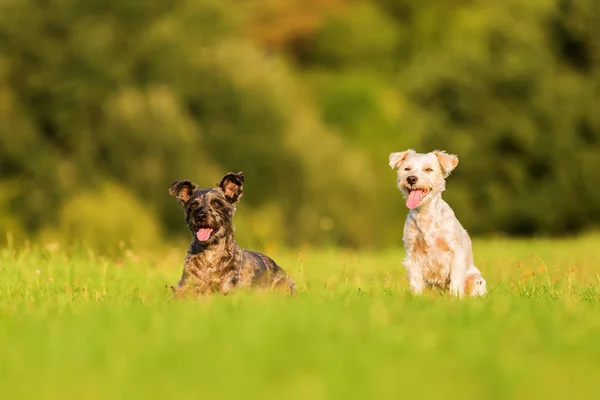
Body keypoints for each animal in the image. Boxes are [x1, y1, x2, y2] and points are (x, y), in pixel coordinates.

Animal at [392, 150, 486, 296]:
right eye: (407, 169)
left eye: (429, 169)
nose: (411, 178)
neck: (425, 215)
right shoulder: (412, 254)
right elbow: (415, 281)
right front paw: (416, 297)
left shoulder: (456, 251)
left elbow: (456, 280)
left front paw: (455, 297)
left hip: (476, 280)